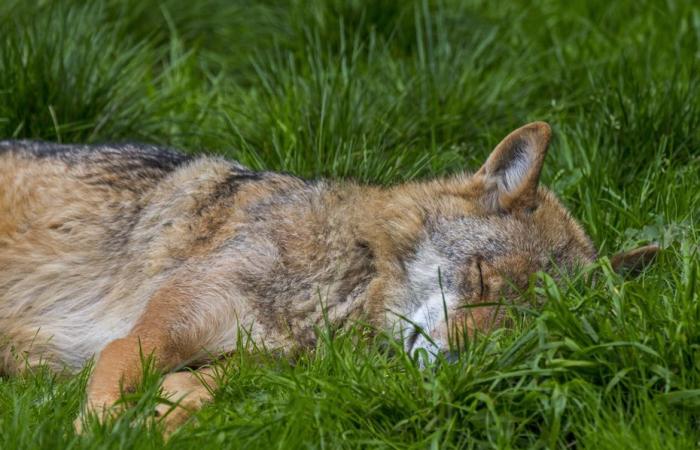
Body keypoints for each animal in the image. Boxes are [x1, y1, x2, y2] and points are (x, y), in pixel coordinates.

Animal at [0, 123, 656, 432]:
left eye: (523, 328)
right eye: (480, 278)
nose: (457, 363)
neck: (341, 284)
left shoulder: (259, 367)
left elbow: (196, 393)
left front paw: (160, 418)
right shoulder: (145, 334)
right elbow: (115, 385)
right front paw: (105, 429)